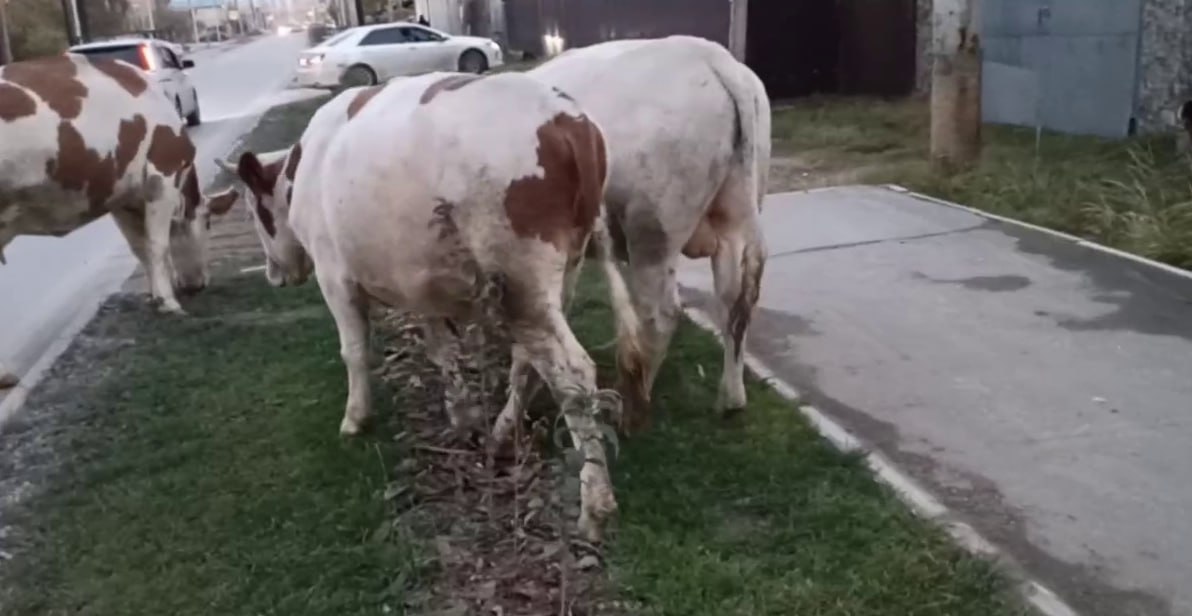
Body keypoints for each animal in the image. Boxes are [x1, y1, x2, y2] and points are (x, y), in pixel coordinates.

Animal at [1, 52, 239, 312]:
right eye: (208, 223)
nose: (198, 285)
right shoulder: (162, 177)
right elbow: (157, 244)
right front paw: (168, 302)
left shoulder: (122, 199)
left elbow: (139, 247)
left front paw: (154, 295)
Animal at [221, 72, 653, 540]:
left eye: (254, 210)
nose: (273, 273)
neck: (304, 168)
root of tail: (567, 118)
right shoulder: (419, 281)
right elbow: (441, 349)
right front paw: (459, 413)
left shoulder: (334, 275)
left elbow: (353, 351)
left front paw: (356, 418)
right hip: (553, 277)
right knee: (530, 360)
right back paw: (502, 431)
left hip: (520, 275)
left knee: (571, 373)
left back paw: (595, 503)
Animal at [486, 36, 772, 436]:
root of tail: (712, 57)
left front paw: (509, 419)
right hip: (734, 217)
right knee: (735, 303)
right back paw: (731, 399)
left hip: (652, 231)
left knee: (661, 313)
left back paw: (633, 405)